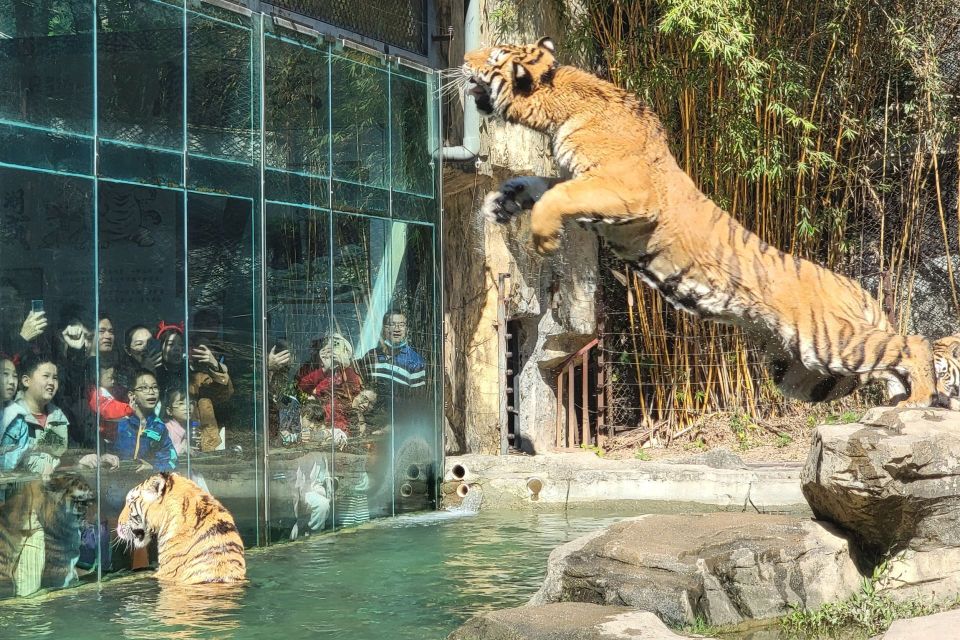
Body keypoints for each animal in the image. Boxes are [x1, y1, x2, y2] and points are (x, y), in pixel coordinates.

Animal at [464, 37, 936, 407]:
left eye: (496, 55)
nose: (466, 58)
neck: (556, 110)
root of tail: (856, 287)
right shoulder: (582, 185)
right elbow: (540, 186)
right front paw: (502, 202)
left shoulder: (625, 190)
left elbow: (556, 195)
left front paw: (543, 240)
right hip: (808, 372)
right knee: (884, 365)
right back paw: (903, 404)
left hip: (832, 341)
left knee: (914, 344)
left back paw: (920, 401)